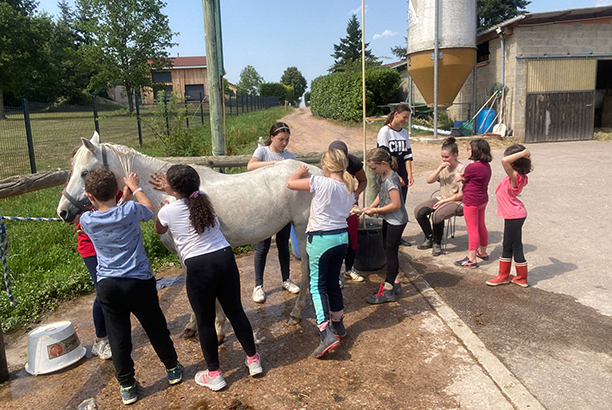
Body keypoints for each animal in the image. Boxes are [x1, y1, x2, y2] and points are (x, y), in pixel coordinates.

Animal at [58, 133, 320, 334]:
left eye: (85, 173)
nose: (63, 211)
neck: (170, 193)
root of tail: (314, 171)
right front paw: (206, 325)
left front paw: (211, 327)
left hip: (302, 229)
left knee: (307, 268)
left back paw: (297, 314)